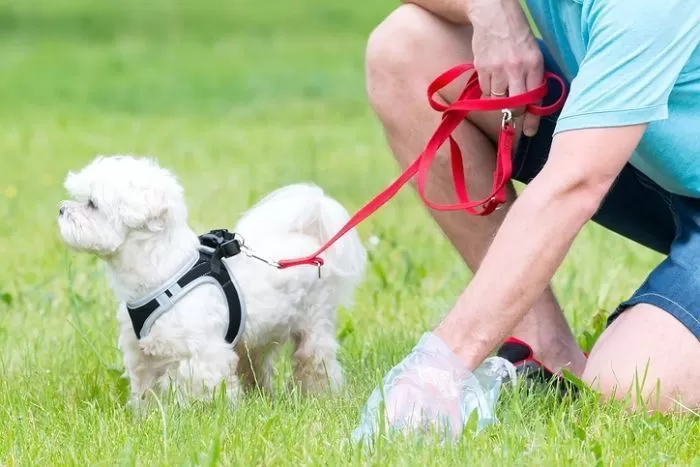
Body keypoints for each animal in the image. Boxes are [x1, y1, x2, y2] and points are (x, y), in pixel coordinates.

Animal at [58, 155, 366, 408]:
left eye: (92, 204)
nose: (61, 209)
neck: (163, 270)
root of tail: (310, 242)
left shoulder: (201, 355)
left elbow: (200, 390)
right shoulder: (143, 355)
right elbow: (146, 392)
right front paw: (147, 418)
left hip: (314, 324)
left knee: (315, 362)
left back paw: (322, 397)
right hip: (254, 338)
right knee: (256, 366)